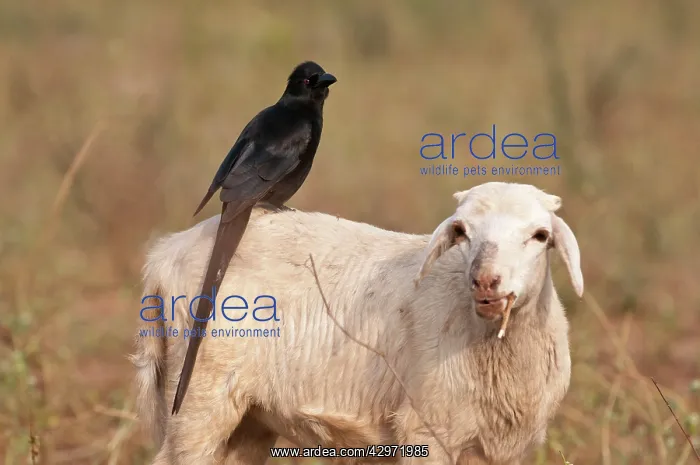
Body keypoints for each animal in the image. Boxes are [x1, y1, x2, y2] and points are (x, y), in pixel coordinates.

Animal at [131, 181, 583, 465]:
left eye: (540, 235)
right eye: (461, 231)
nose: (486, 281)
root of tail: (164, 254)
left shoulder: (503, 447)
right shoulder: (425, 431)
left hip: (250, 419)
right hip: (198, 392)